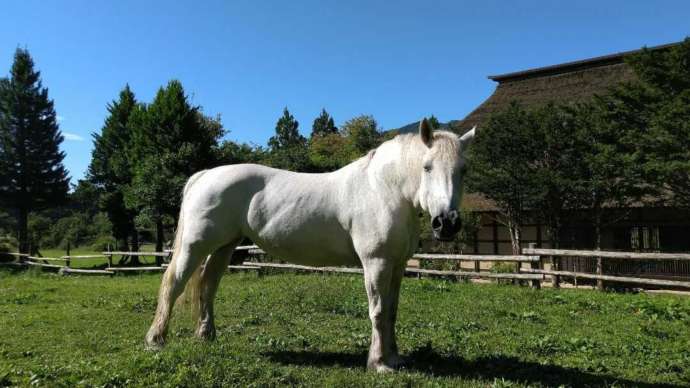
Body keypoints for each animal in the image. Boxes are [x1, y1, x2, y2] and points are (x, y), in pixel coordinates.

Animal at [146, 119, 472, 372]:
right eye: (427, 167)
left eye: (463, 170)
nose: (447, 223)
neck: (383, 189)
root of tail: (205, 175)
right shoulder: (376, 263)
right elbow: (378, 311)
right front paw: (379, 364)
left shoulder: (397, 265)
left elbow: (391, 311)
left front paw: (394, 359)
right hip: (196, 245)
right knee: (173, 283)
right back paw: (156, 340)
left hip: (226, 246)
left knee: (208, 285)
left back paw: (206, 335)